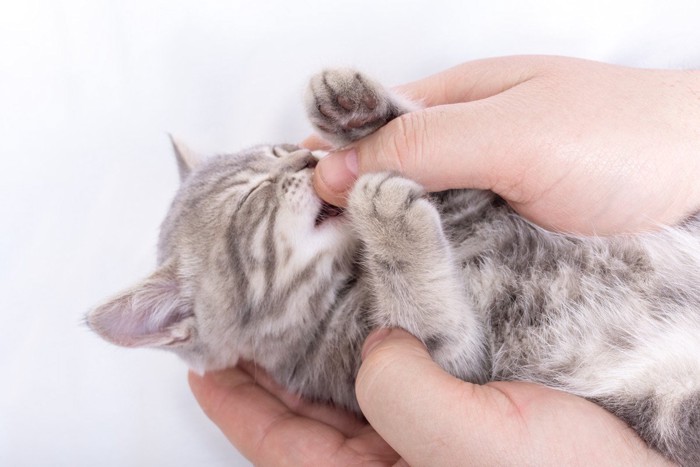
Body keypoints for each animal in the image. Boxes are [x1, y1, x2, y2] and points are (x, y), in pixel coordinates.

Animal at [86, 68, 700, 464]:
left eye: (282, 148)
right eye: (251, 201)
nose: (307, 158)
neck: (352, 276)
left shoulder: (477, 202)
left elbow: (454, 176)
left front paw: (357, 111)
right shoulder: (456, 362)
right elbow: (433, 321)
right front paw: (392, 228)